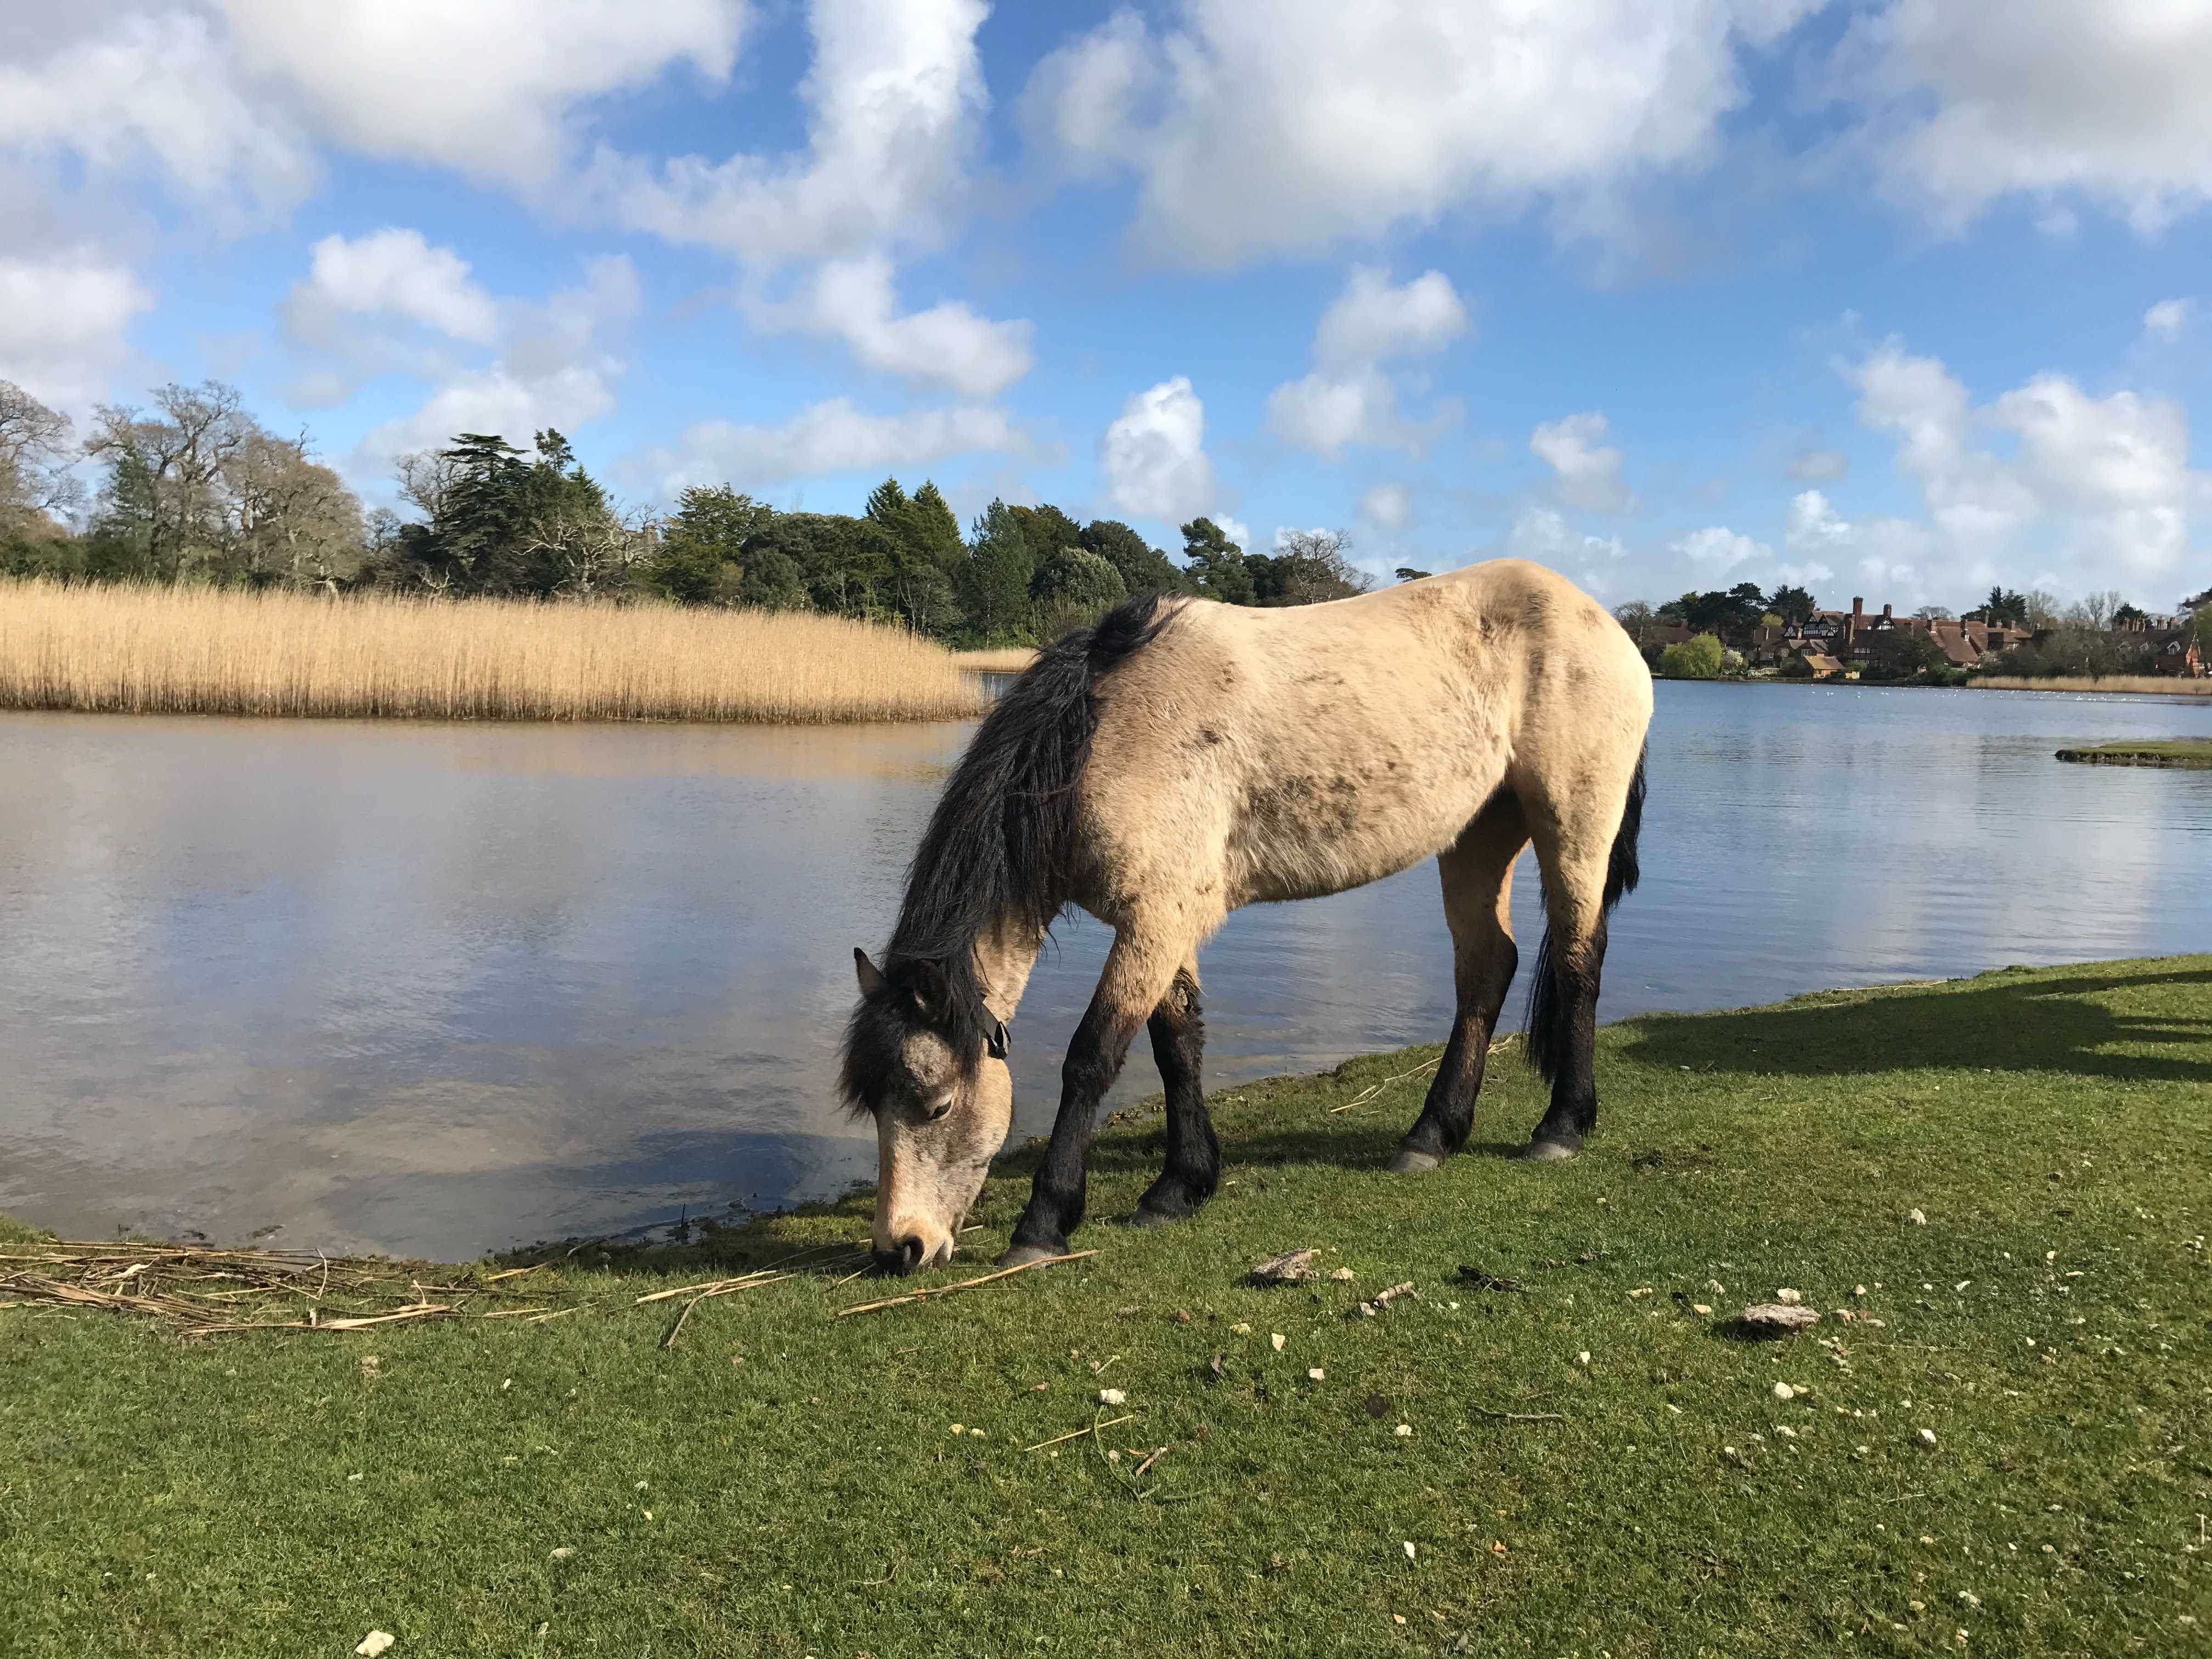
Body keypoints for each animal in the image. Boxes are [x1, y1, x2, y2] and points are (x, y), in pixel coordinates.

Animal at [836, 560, 1654, 1274]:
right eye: (874, 1106)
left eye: (937, 1106)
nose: (900, 1247)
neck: (1101, 735)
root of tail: (1602, 623)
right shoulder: (1165, 922)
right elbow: (1178, 1046)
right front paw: (1181, 1186)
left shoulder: (1154, 920)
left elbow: (1093, 1057)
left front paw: (1044, 1224)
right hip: (1481, 832)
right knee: (1487, 970)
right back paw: (1431, 1136)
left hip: (1573, 823)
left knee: (1578, 958)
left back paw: (1561, 1127)